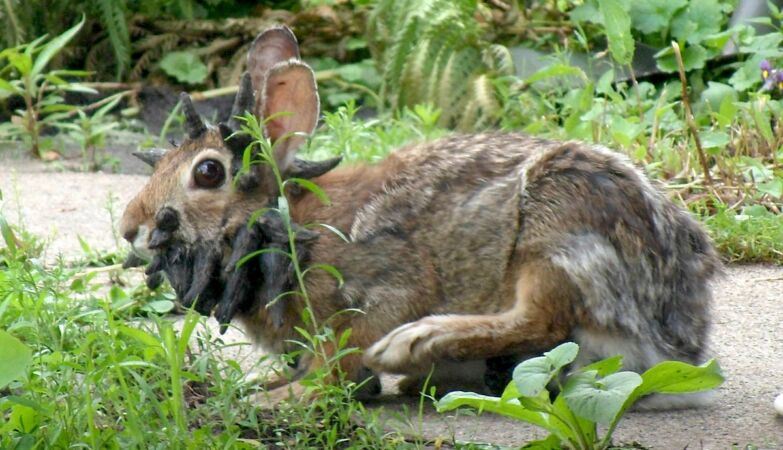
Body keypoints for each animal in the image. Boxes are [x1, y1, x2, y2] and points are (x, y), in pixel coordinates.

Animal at [119, 26, 722, 408]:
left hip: (555, 228)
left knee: (540, 320)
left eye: (208, 173)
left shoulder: (377, 292)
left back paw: (416, 345)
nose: (130, 228)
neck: (287, 222)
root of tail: (678, 337)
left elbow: (340, 361)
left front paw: (283, 399)